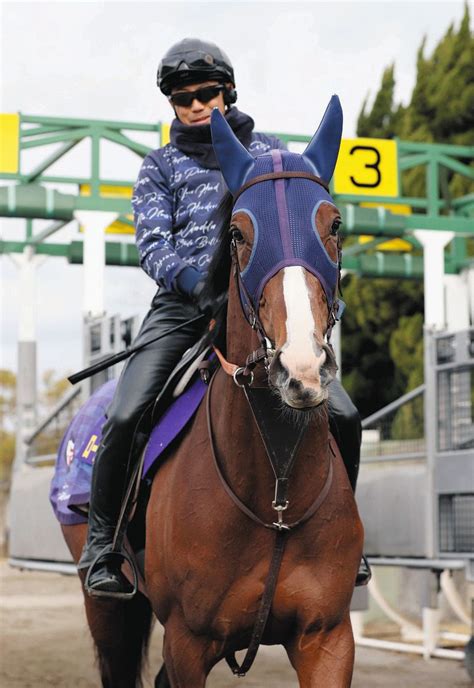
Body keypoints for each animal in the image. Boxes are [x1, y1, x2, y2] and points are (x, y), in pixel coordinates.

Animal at [60, 94, 362, 684]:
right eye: (239, 233)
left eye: (334, 223)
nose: (301, 367)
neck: (275, 492)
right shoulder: (188, 641)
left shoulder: (328, 637)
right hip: (105, 605)